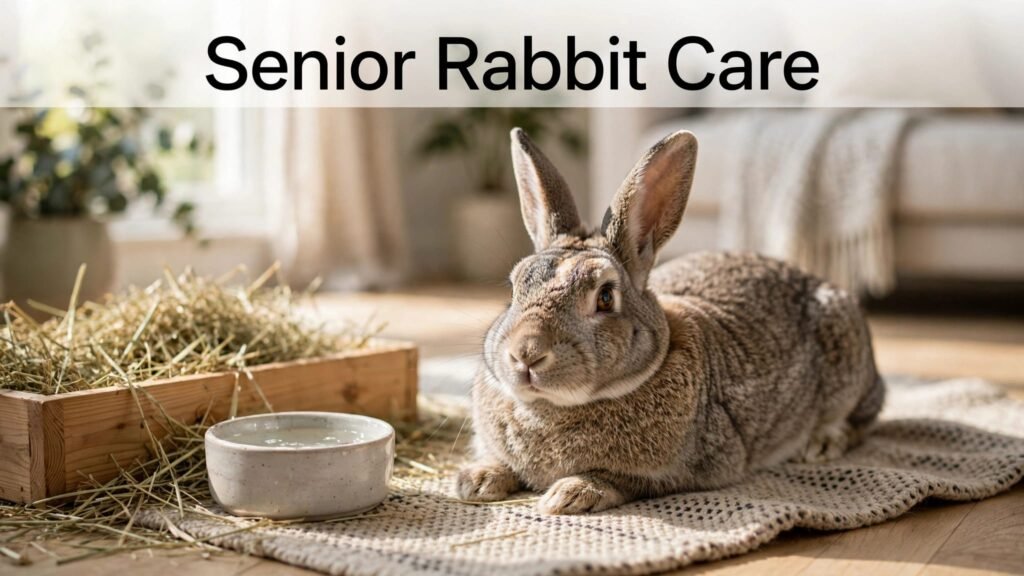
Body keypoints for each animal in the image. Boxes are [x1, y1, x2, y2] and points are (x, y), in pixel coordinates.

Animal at [456, 128, 885, 515]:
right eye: (514, 288)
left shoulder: (688, 468)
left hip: (846, 360)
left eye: (605, 297)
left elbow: (622, 480)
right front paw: (475, 480)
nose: (526, 354)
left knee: (862, 417)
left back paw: (822, 443)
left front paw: (571, 494)